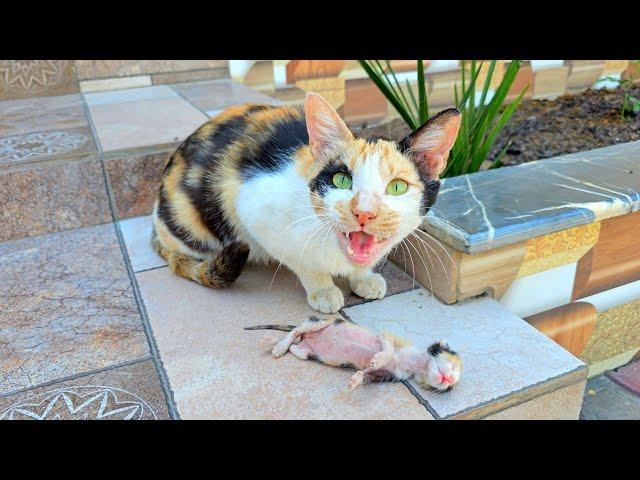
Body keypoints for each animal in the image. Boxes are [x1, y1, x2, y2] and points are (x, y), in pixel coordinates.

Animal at [150, 92, 460, 314]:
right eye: (341, 180)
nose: (364, 213)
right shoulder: (253, 209)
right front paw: (323, 291)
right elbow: (304, 262)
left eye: (397, 187)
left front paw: (364, 278)